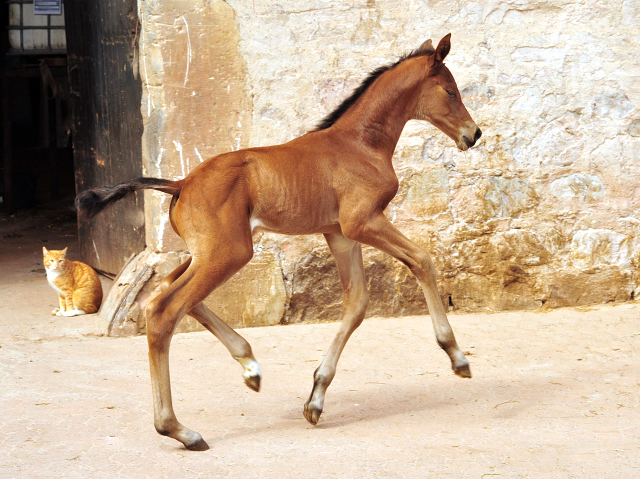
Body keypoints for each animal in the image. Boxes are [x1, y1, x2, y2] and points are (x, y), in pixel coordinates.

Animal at [76, 35, 480, 452]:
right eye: (450, 91)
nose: (474, 133)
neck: (359, 143)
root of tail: (180, 184)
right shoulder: (362, 222)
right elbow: (422, 260)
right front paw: (457, 357)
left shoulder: (339, 233)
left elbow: (357, 304)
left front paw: (315, 398)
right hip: (230, 252)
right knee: (163, 310)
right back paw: (180, 429)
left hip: (210, 252)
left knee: (170, 291)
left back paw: (250, 368)